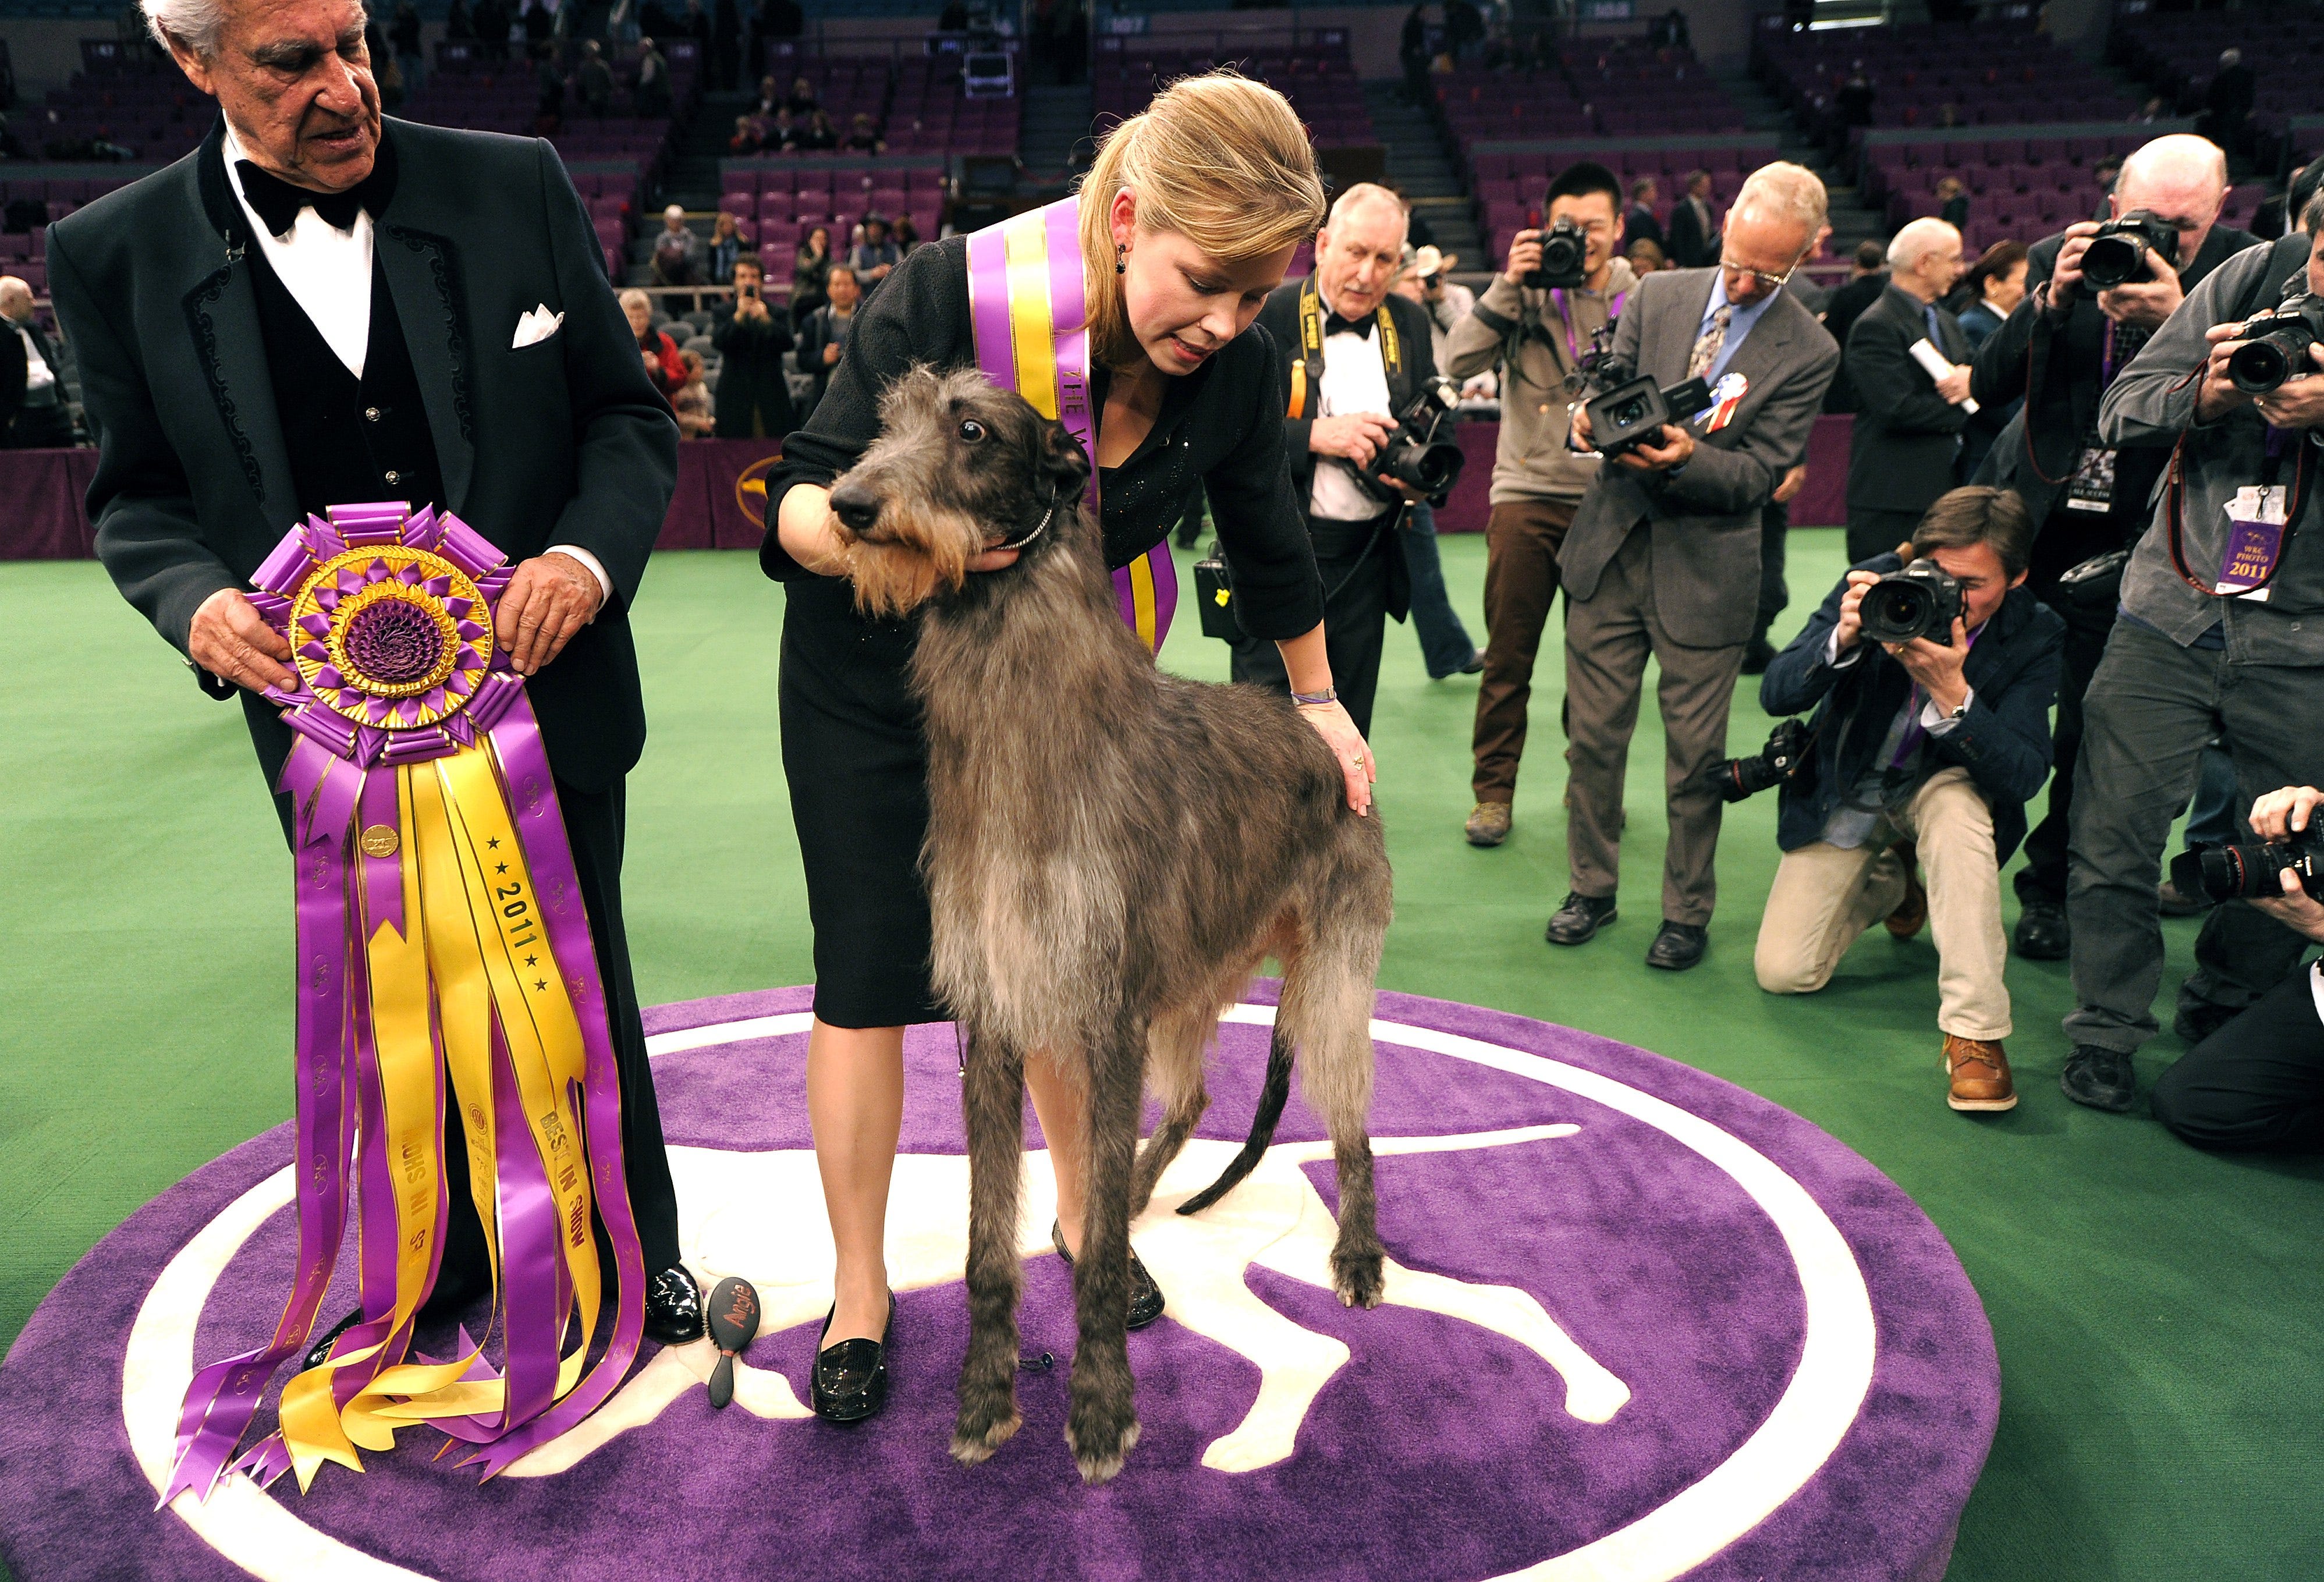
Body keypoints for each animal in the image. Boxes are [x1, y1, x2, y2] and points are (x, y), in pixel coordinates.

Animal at [827, 367, 1385, 1477]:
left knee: (1352, 1124)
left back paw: (1352, 1252)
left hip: (1330, 975)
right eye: (885, 421)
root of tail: (1323, 727)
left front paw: (1097, 1412)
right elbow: (986, 1247)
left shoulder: (1107, 1016)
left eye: (970, 429)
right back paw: (1129, 1193)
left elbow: (1083, 1271)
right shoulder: (998, 1013)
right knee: (1196, 1095)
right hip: (1197, 976)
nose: (848, 505)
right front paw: (984, 1402)